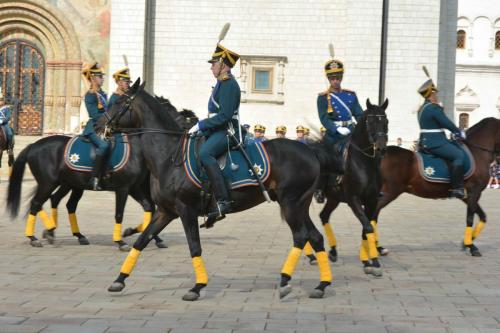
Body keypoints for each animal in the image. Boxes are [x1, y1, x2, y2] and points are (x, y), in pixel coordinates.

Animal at [104, 79, 332, 300]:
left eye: (119, 101)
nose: (100, 125)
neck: (170, 155)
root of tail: (310, 151)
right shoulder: (165, 211)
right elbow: (141, 241)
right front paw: (119, 280)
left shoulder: (186, 210)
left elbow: (194, 247)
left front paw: (197, 287)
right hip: (299, 205)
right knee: (315, 237)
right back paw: (322, 285)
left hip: (290, 203)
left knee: (301, 236)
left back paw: (285, 280)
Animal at [304, 98, 390, 274]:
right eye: (370, 122)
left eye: (386, 121)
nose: (381, 148)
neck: (364, 163)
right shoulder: (353, 199)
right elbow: (368, 227)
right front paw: (374, 261)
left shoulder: (371, 201)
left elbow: (366, 228)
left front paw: (368, 261)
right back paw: (311, 255)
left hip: (334, 198)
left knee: (324, 216)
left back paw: (333, 251)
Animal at [372, 117, 500, 256]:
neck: (476, 152)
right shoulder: (474, 192)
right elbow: (470, 219)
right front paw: (471, 246)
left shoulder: (467, 196)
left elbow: (482, 216)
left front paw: (467, 242)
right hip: (390, 192)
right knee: (374, 213)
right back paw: (375, 247)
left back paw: (377, 246)